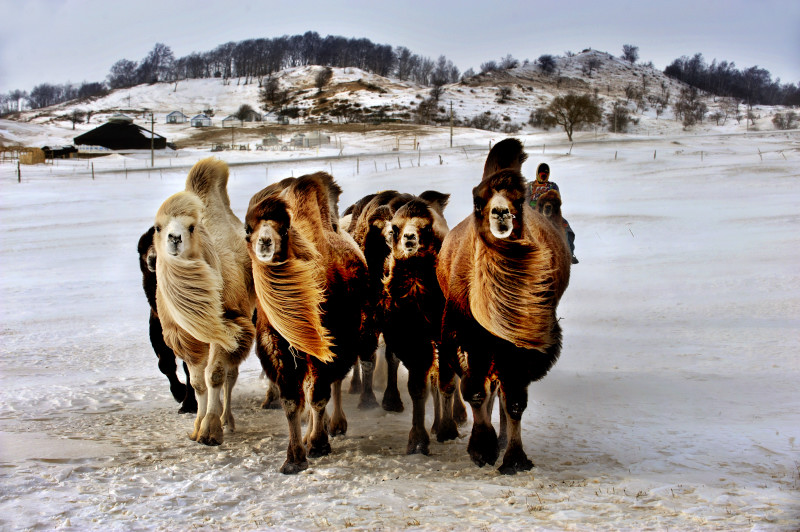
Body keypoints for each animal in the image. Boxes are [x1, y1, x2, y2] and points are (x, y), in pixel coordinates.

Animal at [152, 157, 255, 444]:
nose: (174, 238)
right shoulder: (186, 337)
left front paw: (211, 429)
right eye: (158, 227)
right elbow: (197, 382)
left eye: (191, 227)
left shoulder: (230, 326)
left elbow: (216, 375)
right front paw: (197, 426)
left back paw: (226, 419)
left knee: (230, 375)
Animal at [245, 171, 374, 474]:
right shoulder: (278, 348)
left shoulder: (330, 343)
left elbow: (317, 395)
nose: (264, 242)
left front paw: (317, 444)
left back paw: (334, 425)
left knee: (334, 383)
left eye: (284, 229)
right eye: (248, 229)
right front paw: (294, 457)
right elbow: (291, 401)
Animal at [434, 137, 572, 474]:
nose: (500, 213)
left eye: (519, 201)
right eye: (477, 201)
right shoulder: (467, 336)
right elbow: (474, 390)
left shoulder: (521, 344)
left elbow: (515, 401)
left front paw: (513, 458)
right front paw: (481, 448)